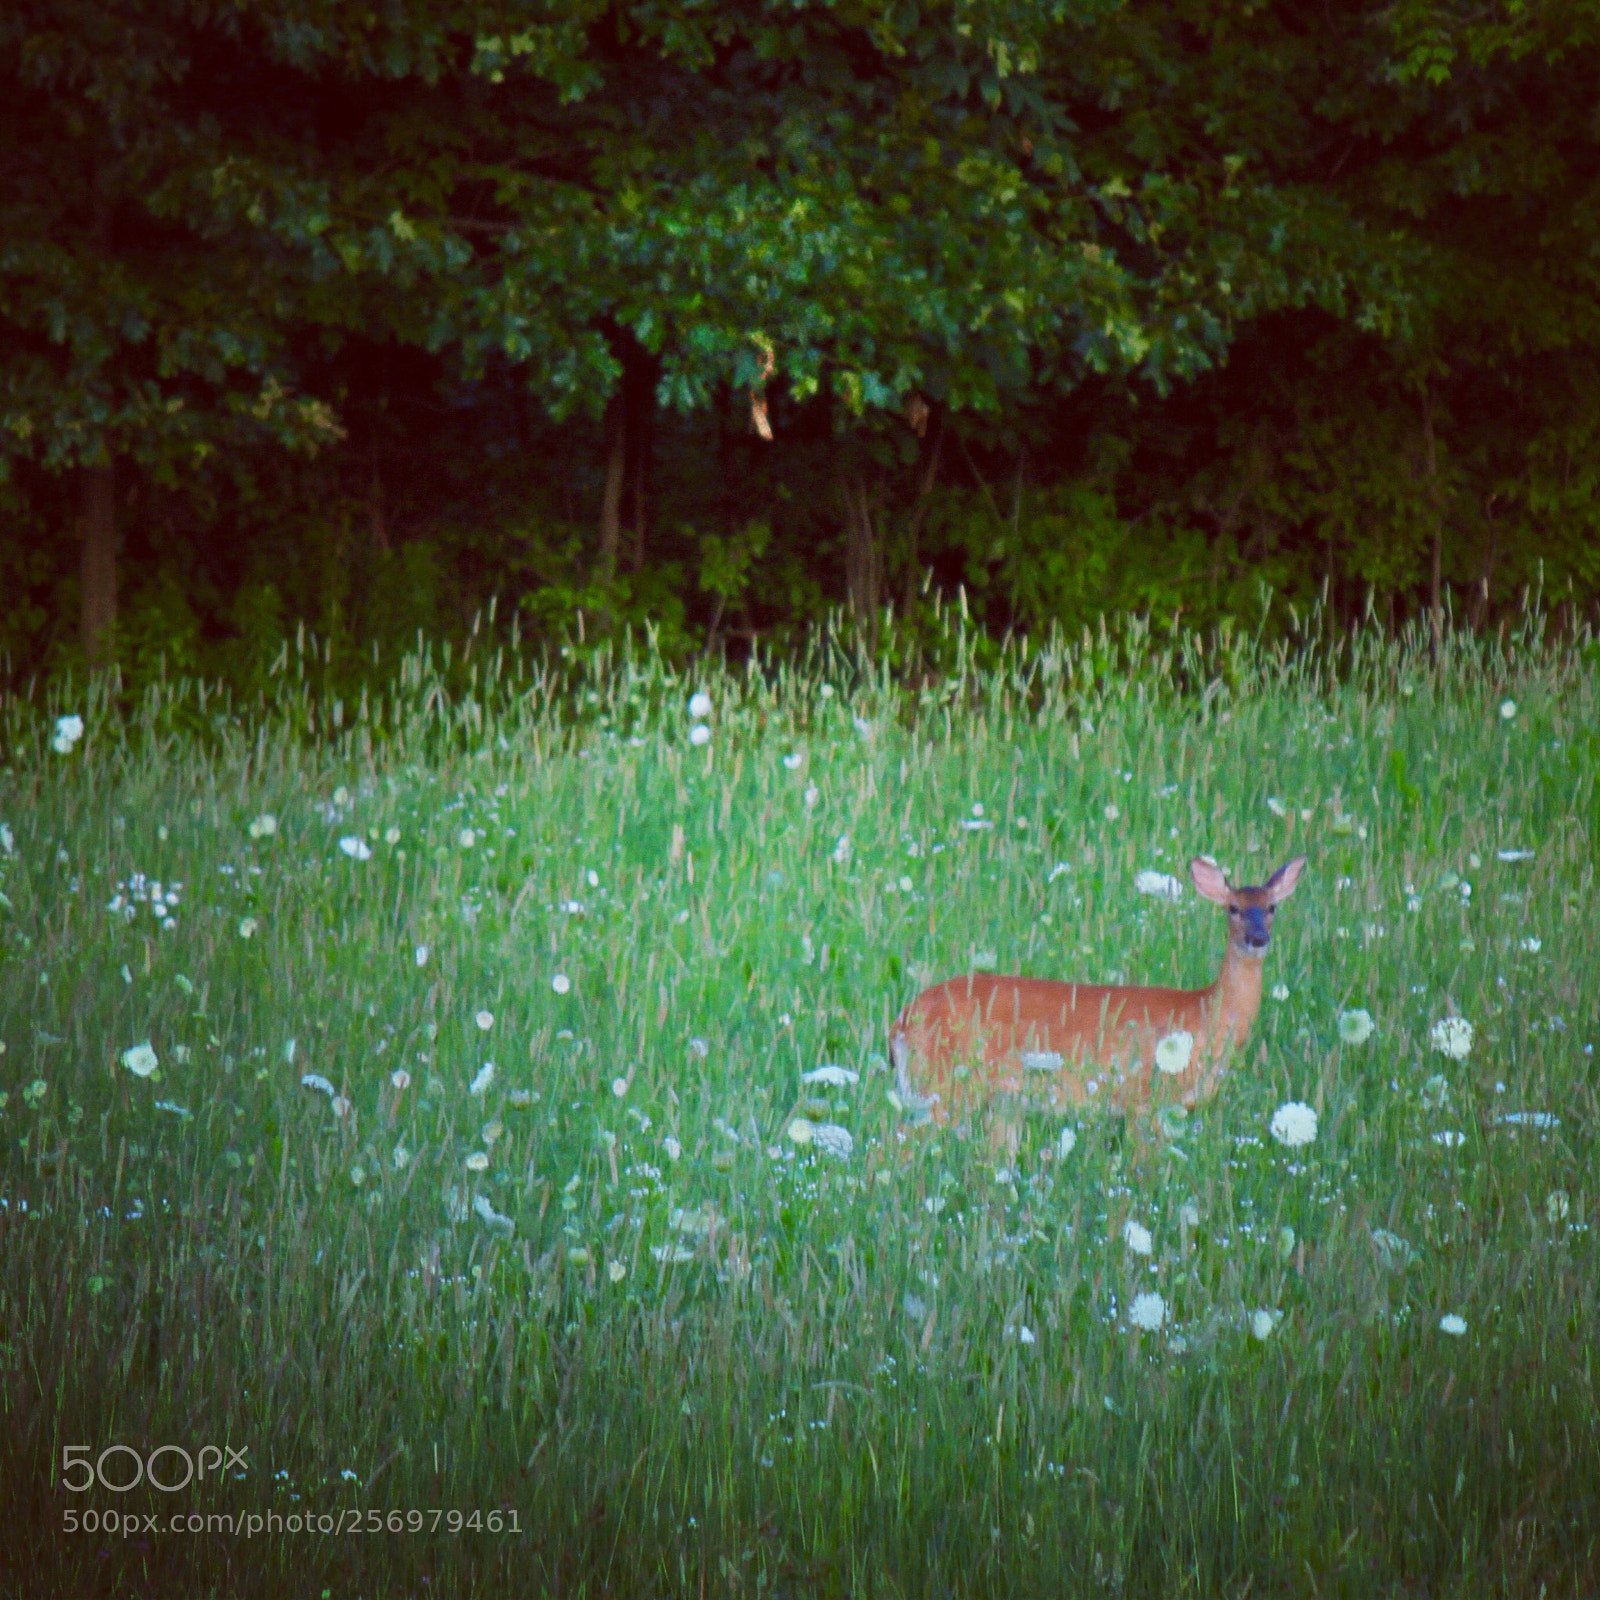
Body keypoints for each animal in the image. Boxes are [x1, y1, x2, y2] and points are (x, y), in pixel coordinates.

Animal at [889, 855, 1307, 1138]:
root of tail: (904, 1018)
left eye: (1271, 907)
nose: (1258, 938)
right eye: (1233, 908)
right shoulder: (1146, 1100)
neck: (1203, 1017)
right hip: (942, 1086)